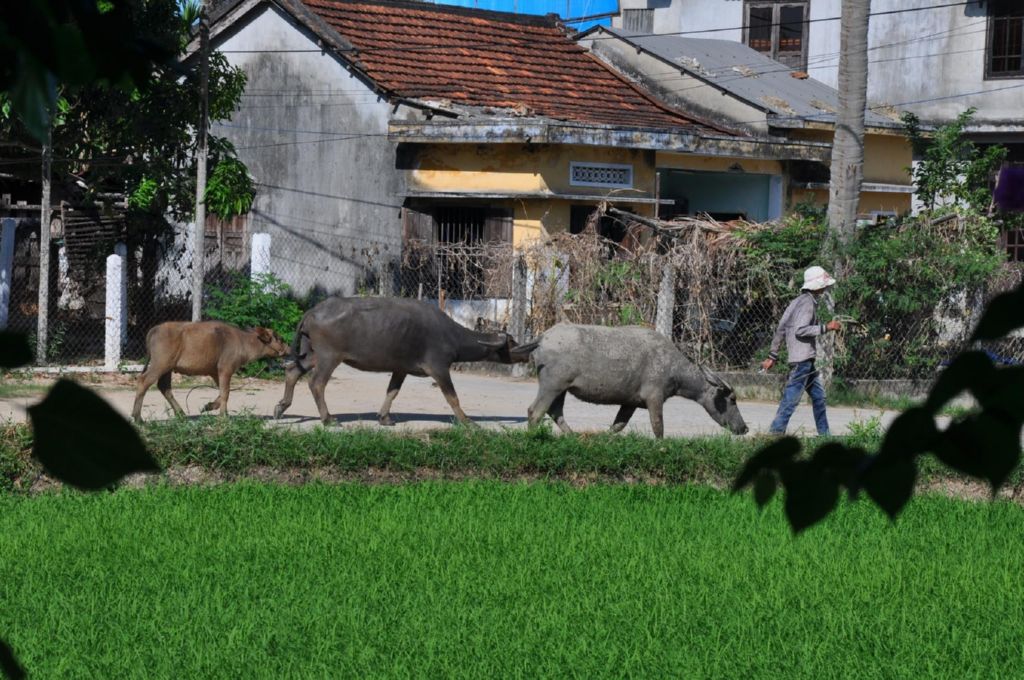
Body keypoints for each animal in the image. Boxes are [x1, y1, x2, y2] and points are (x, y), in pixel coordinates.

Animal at [130, 321, 288, 421]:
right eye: (279, 338)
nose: (288, 349)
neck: (242, 341)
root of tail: (155, 329)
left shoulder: (215, 372)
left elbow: (222, 392)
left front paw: (208, 406)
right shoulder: (226, 369)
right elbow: (226, 392)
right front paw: (223, 415)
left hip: (167, 368)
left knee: (164, 387)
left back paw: (181, 414)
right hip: (160, 364)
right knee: (143, 381)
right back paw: (138, 417)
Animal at [276, 296, 532, 426]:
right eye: (511, 341)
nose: (527, 353)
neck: (451, 336)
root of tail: (311, 312)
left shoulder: (401, 369)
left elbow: (392, 391)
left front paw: (384, 418)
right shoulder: (439, 368)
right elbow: (452, 397)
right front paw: (468, 421)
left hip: (312, 353)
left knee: (293, 371)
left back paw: (281, 407)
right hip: (329, 356)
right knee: (316, 383)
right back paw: (328, 419)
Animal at [524, 323, 749, 438]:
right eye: (732, 399)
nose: (744, 428)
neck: (674, 369)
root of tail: (542, 338)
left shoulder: (630, 402)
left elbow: (618, 425)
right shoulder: (654, 397)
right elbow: (658, 426)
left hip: (561, 388)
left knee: (555, 412)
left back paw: (573, 435)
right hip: (552, 385)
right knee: (535, 411)